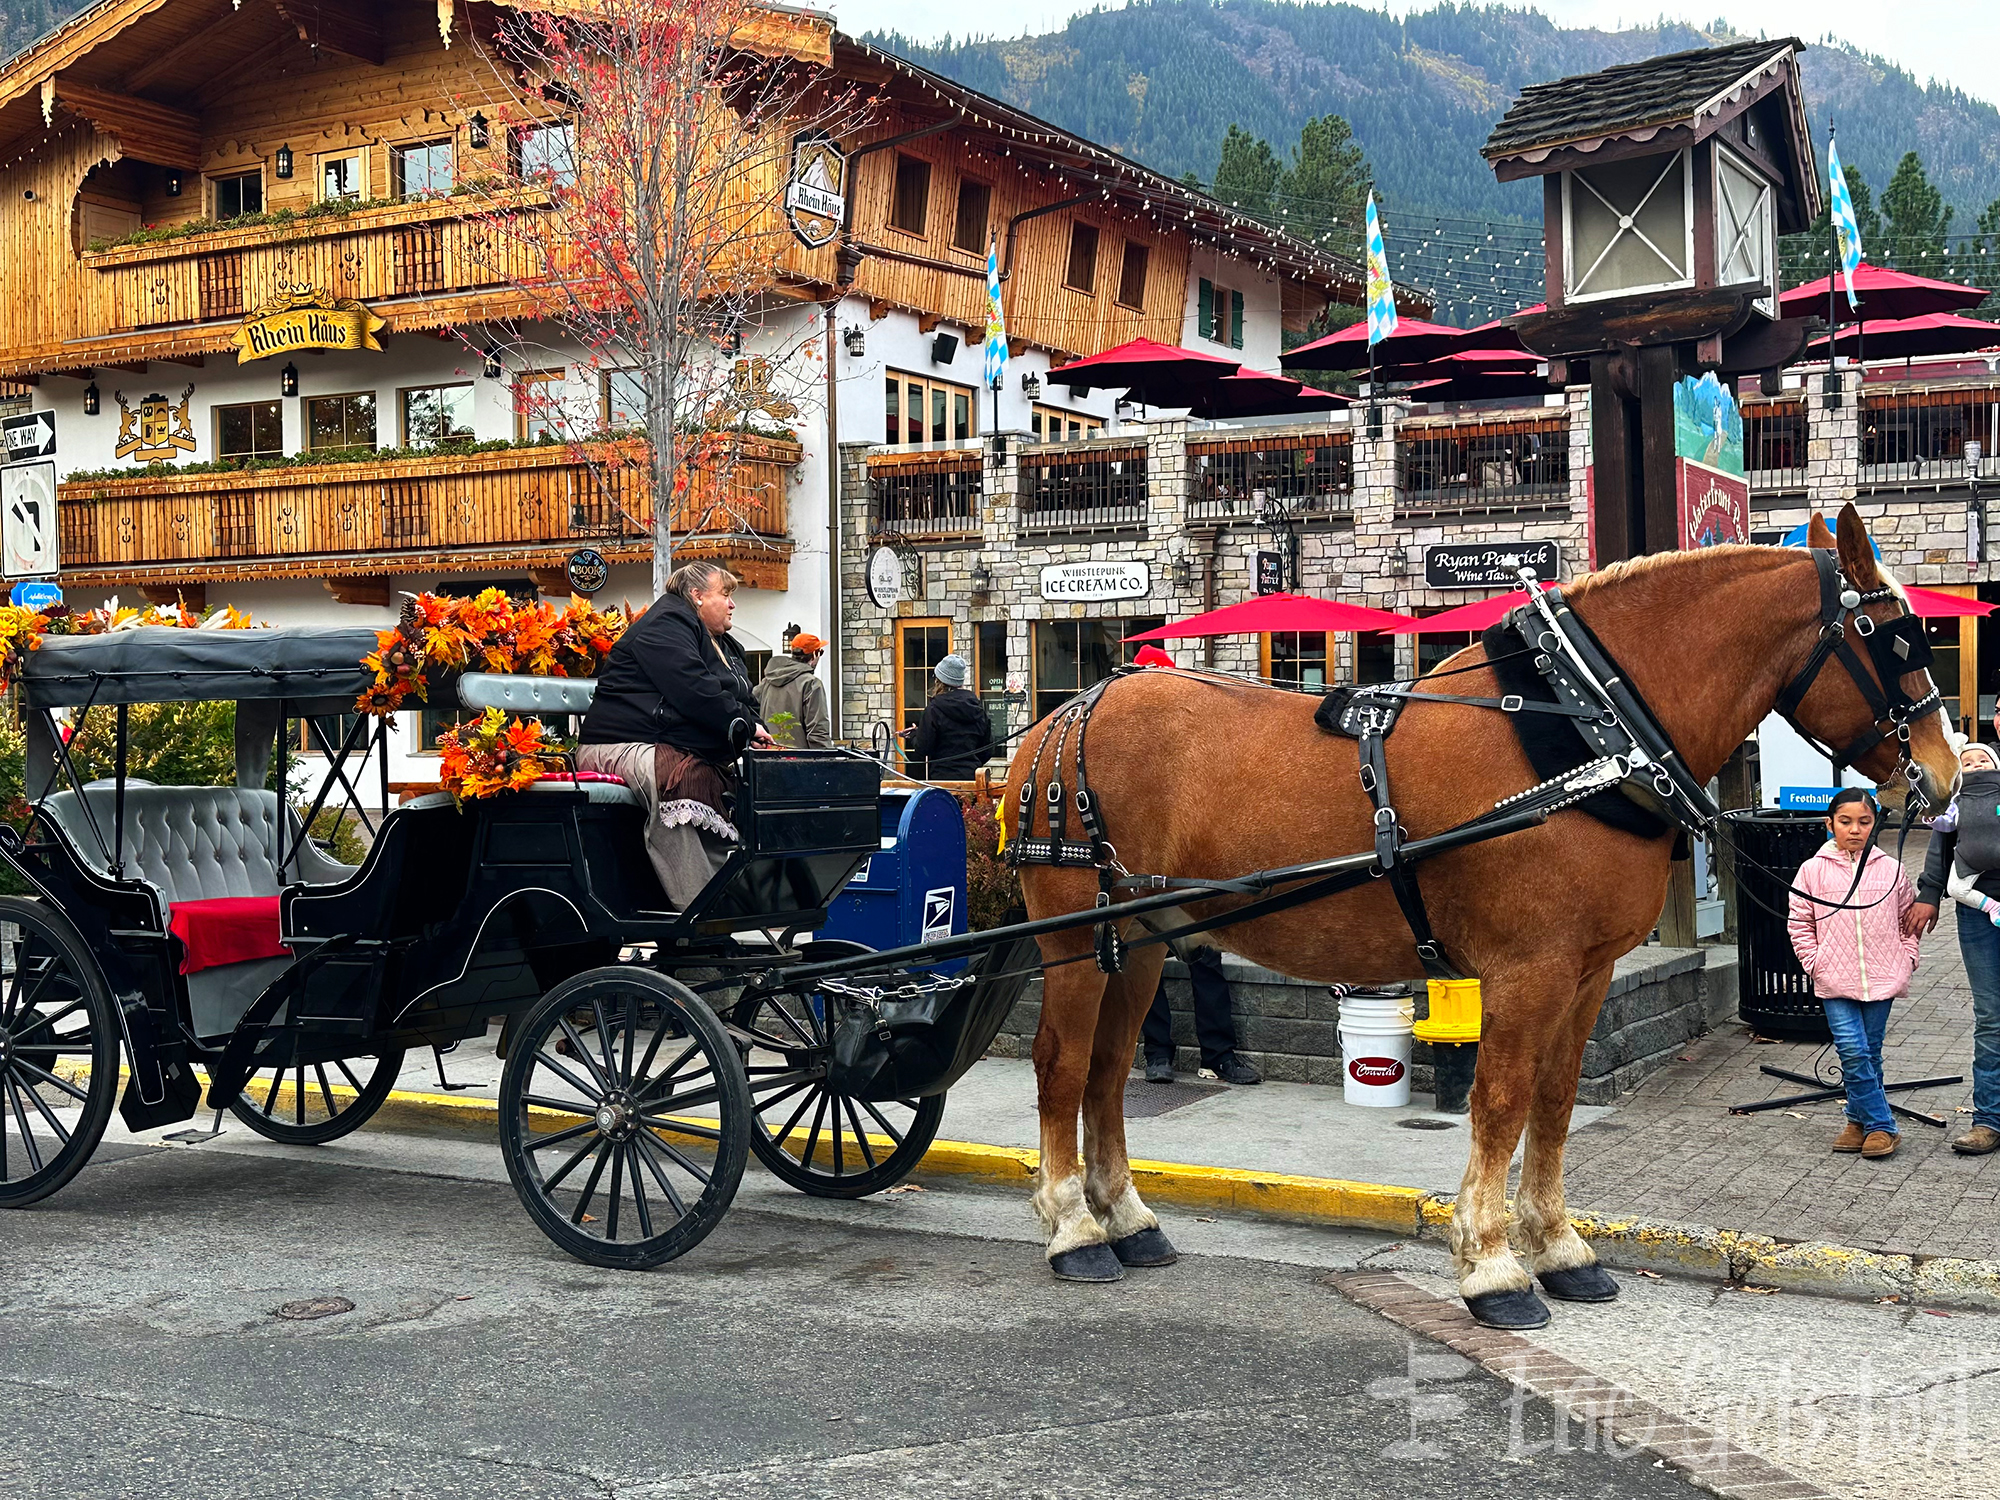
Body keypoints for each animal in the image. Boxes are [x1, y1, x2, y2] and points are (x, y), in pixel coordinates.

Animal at [1000, 506, 1952, 1328]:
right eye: (1898, 638)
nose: (1948, 774)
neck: (1589, 729)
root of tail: (1066, 715)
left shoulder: (1588, 969)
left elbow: (1555, 1100)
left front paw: (1560, 1249)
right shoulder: (1527, 968)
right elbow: (1500, 1099)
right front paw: (1493, 1265)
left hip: (1138, 940)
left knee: (1107, 1070)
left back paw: (1127, 1218)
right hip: (1073, 936)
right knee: (1062, 1063)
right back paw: (1073, 1228)